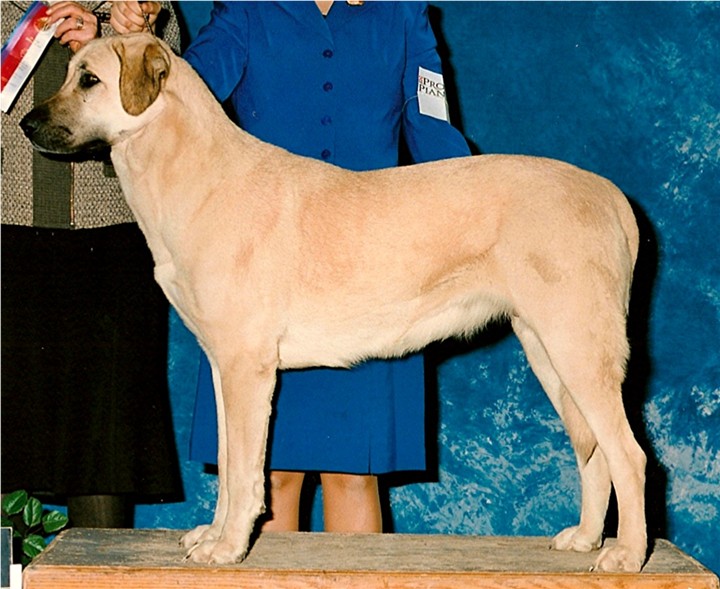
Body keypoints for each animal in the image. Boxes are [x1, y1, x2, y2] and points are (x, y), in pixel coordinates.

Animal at [21, 34, 648, 572]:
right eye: (72, 73)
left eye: (89, 79)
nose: (25, 122)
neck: (192, 174)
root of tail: (611, 195)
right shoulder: (225, 368)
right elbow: (228, 464)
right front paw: (214, 535)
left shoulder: (247, 366)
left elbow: (244, 472)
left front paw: (227, 548)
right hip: (547, 350)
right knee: (594, 452)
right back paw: (585, 539)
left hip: (577, 348)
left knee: (630, 455)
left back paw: (626, 555)